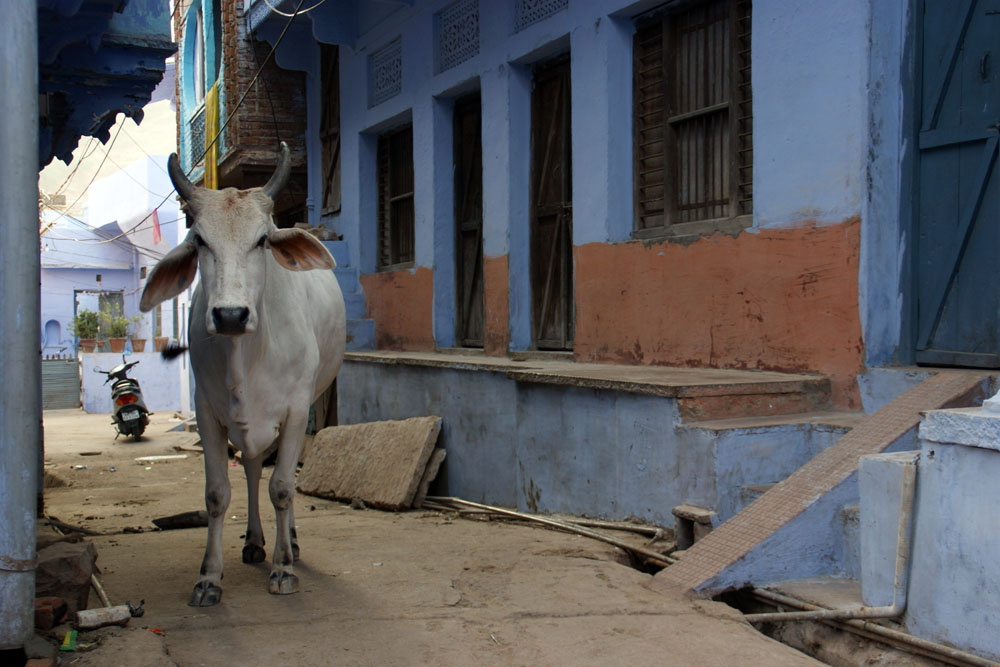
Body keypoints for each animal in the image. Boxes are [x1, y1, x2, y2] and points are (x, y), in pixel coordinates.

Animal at [139, 144, 346, 608]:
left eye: (262, 240)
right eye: (199, 240)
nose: (230, 315)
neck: (247, 355)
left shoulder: (295, 411)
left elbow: (284, 488)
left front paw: (284, 568)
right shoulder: (208, 412)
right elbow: (218, 494)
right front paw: (208, 578)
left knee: (275, 481)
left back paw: (290, 544)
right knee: (252, 470)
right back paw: (253, 542)